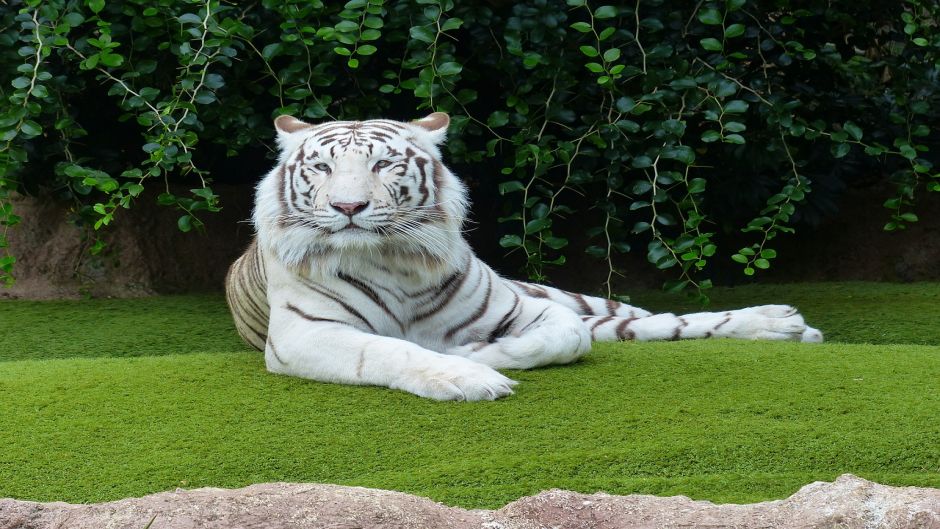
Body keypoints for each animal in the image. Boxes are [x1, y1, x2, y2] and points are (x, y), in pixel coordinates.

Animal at [228, 112, 824, 400]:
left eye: (383, 165)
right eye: (322, 168)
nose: (348, 207)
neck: (392, 259)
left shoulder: (525, 309)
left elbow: (566, 335)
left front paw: (476, 355)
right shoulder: (304, 333)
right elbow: (387, 350)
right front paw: (464, 376)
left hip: (575, 298)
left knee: (656, 321)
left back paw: (782, 323)